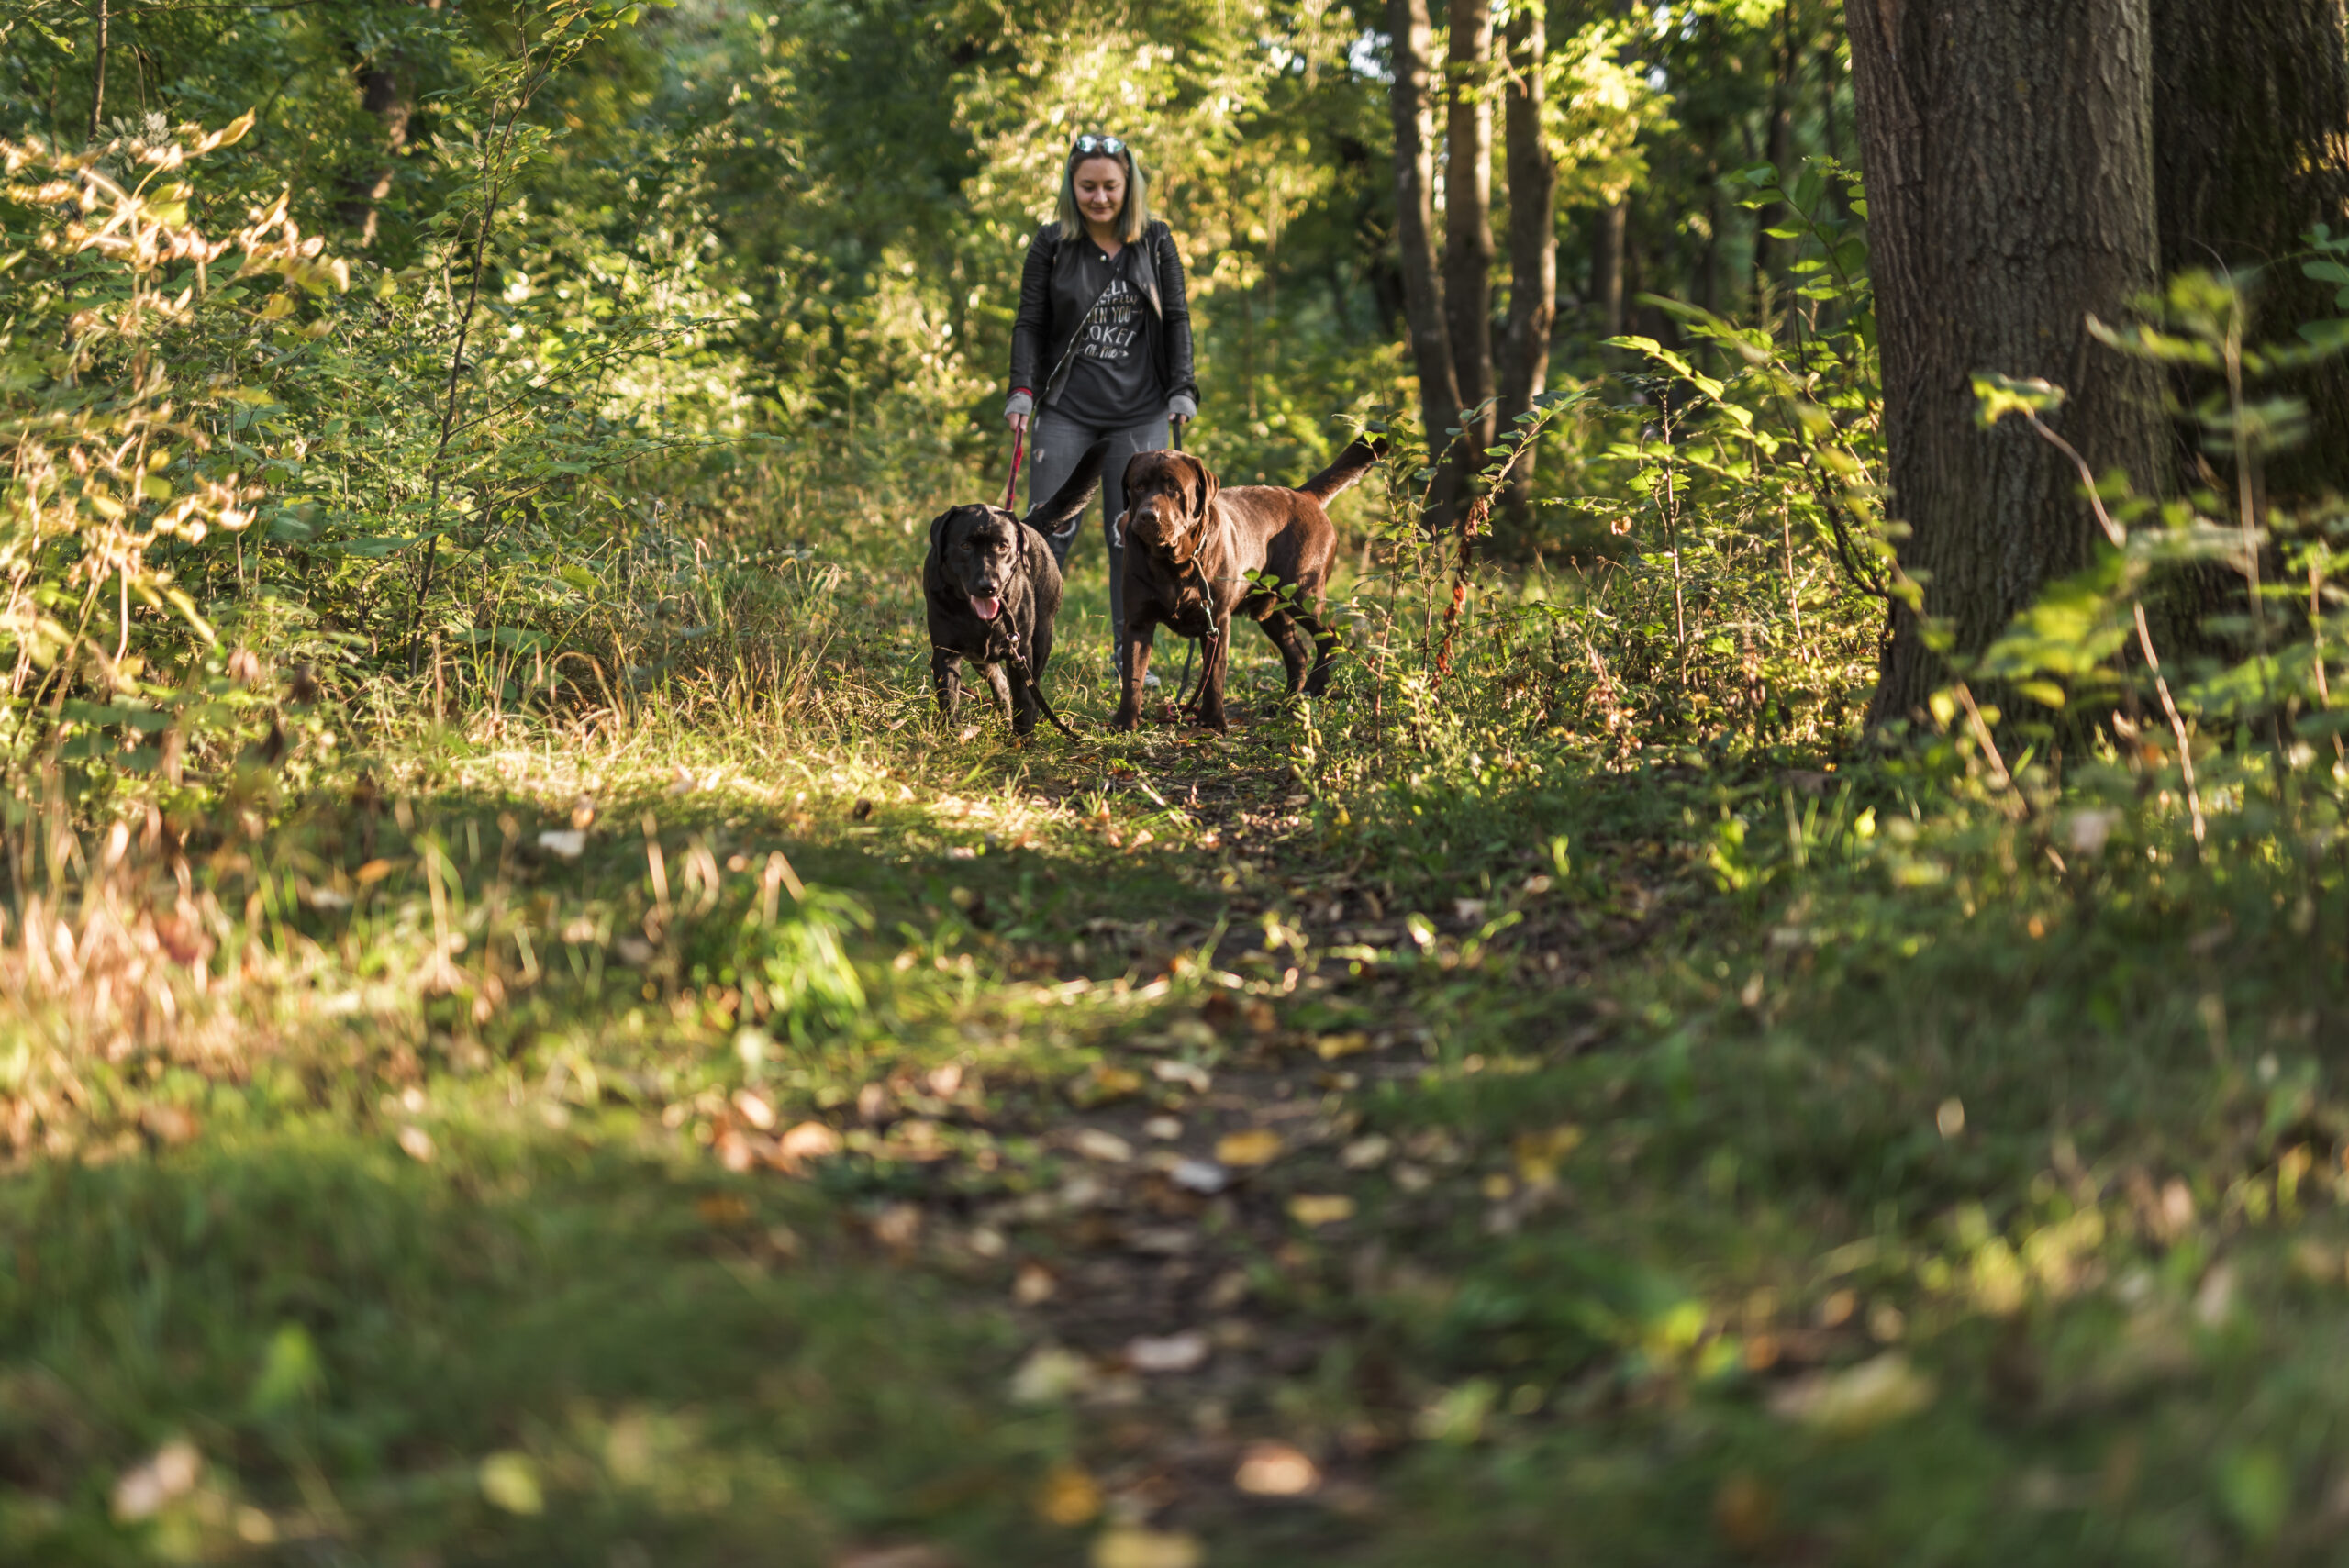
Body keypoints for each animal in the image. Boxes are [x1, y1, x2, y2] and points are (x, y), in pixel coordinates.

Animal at [925, 440, 1108, 737]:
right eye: (965, 546)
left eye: (1003, 546)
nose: (989, 586)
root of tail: (1027, 524)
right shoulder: (945, 653)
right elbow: (949, 700)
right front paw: (950, 736)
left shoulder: (1020, 653)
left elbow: (1024, 698)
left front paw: (1023, 740)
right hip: (983, 658)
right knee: (998, 682)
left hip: (1042, 637)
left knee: (1029, 683)